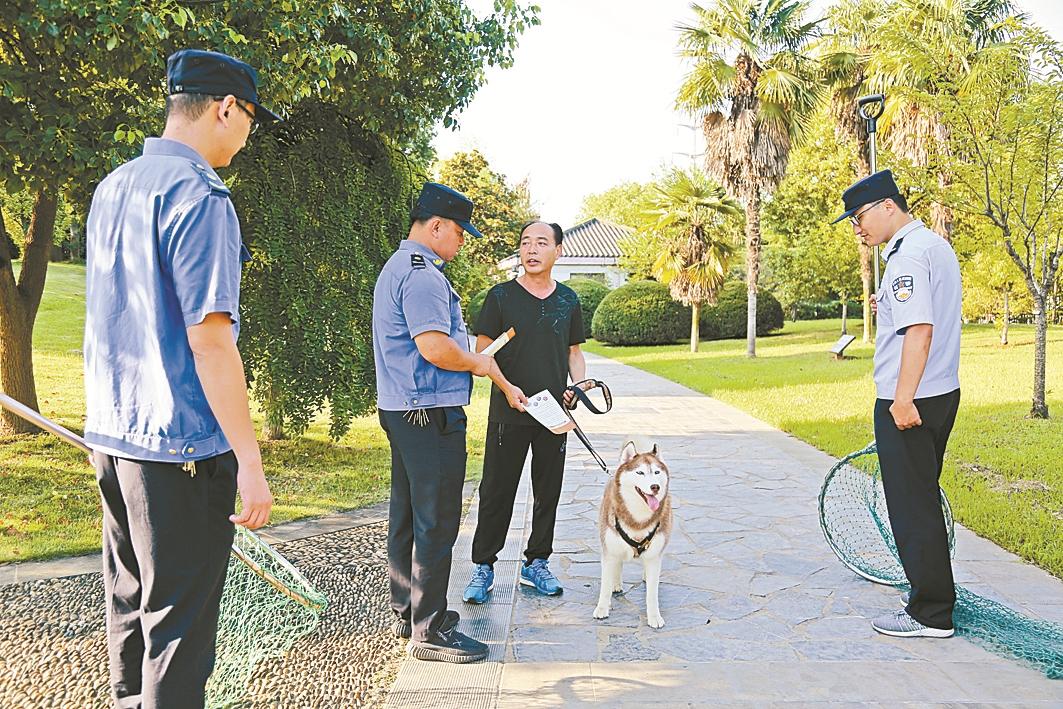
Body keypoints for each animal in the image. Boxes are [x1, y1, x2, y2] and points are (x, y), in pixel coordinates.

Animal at [591, 440, 671, 629]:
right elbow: (605, 585)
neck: (638, 519)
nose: (655, 487)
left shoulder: (654, 556)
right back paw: (616, 584)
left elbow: (652, 593)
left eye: (656, 472)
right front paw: (602, 608)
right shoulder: (609, 550)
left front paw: (654, 616)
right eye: (640, 472)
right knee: (617, 564)